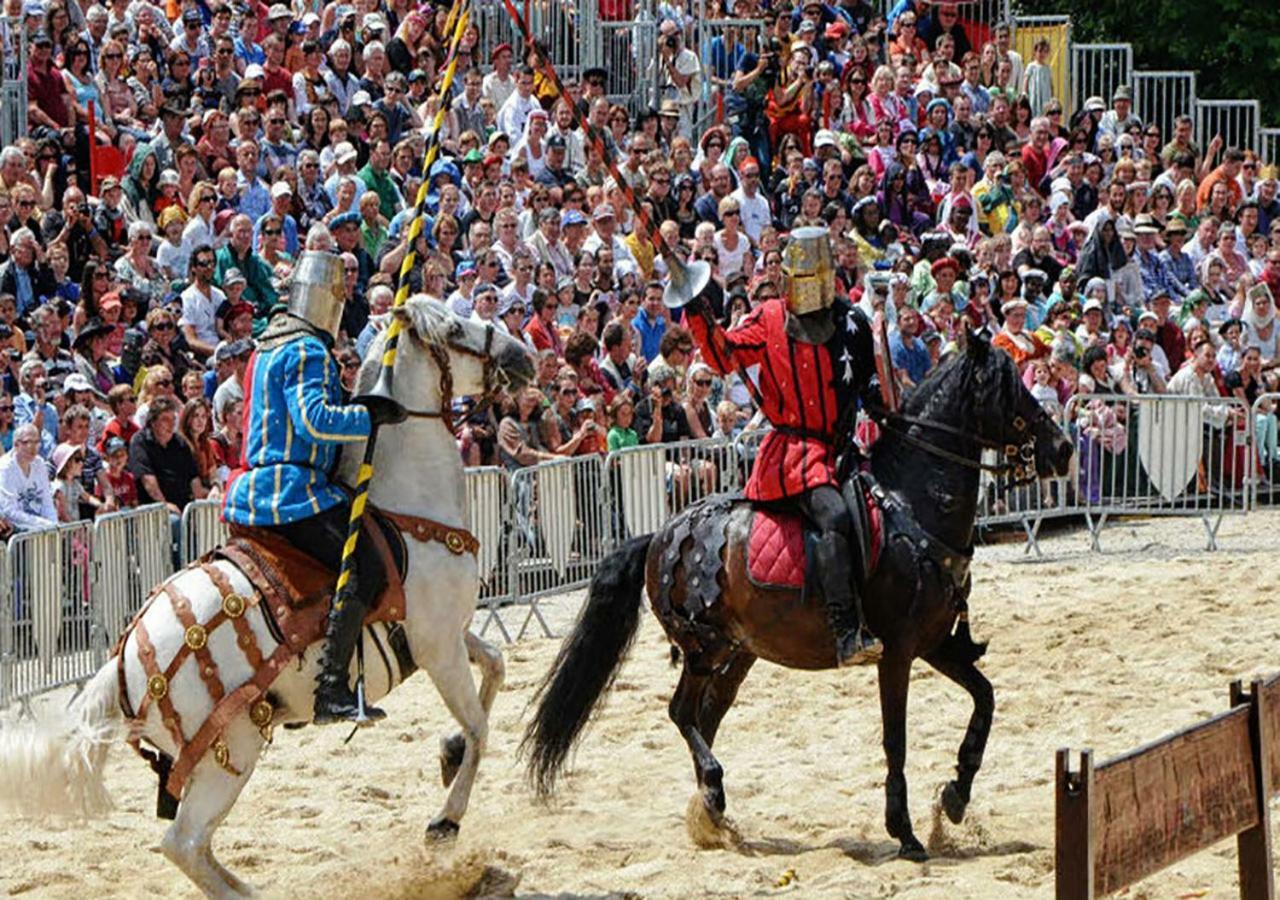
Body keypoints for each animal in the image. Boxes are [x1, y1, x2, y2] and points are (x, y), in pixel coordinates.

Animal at [0, 299, 535, 896]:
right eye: (457, 328)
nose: (521, 356)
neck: (406, 506)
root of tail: (120, 666)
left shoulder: (443, 638)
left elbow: (496, 666)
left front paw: (449, 752)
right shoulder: (437, 647)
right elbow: (481, 727)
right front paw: (445, 822)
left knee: (195, 848)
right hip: (229, 751)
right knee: (183, 844)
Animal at [519, 332, 1070, 860]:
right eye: (1009, 388)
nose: (1062, 448)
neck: (909, 505)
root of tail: (658, 535)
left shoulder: (932, 644)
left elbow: (986, 700)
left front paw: (956, 795)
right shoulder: (896, 653)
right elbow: (896, 739)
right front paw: (905, 832)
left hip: (738, 654)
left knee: (704, 717)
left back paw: (711, 810)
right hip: (705, 647)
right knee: (682, 713)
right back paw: (713, 794)